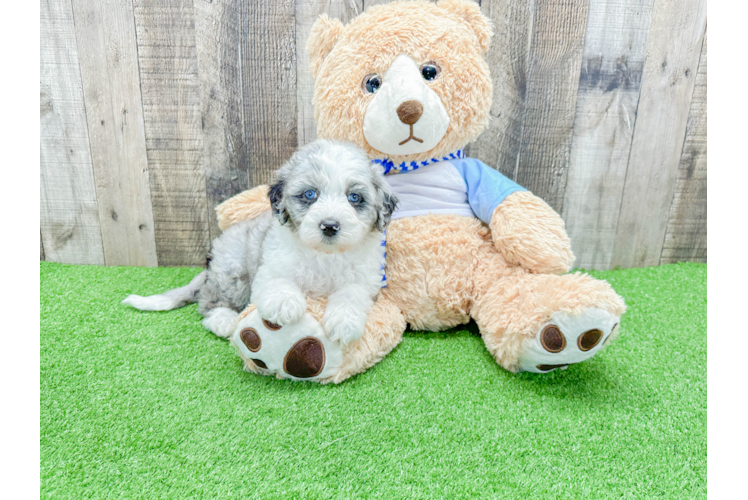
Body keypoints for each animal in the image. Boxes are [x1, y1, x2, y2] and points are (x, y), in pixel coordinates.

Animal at [124, 139, 398, 346]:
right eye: (310, 194)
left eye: (355, 198)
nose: (329, 226)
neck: (324, 255)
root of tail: (209, 270)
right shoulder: (270, 265)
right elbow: (278, 281)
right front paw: (284, 304)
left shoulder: (365, 279)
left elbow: (351, 292)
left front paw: (344, 321)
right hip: (232, 269)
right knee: (209, 302)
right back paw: (223, 320)